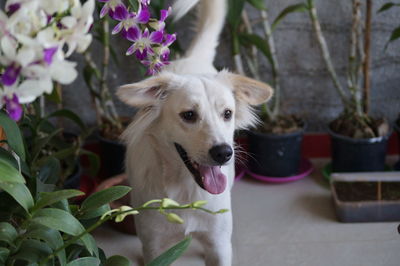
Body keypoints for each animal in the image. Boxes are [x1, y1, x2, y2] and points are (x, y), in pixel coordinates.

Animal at [115, 0, 272, 264]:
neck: (185, 189)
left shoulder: (219, 245)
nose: (223, 153)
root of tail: (192, 59)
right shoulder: (154, 247)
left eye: (227, 113)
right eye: (189, 115)